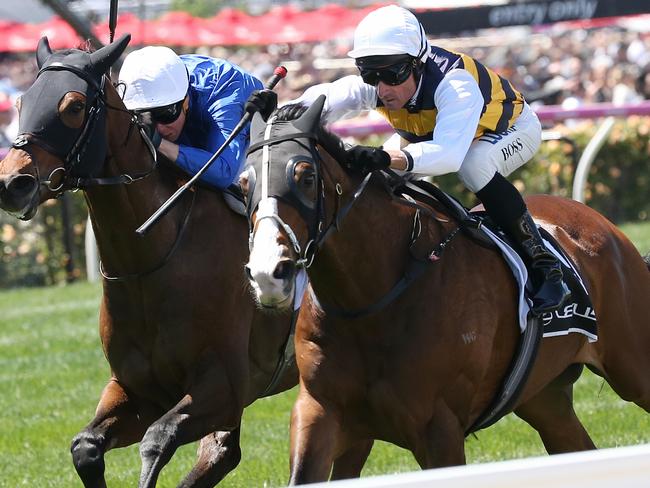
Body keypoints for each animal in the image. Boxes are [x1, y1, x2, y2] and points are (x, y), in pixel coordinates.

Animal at [0, 35, 298, 488]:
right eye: (20, 103)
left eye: (73, 106)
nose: (11, 183)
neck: (152, 255)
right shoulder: (135, 389)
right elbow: (85, 447)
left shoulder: (225, 385)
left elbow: (158, 439)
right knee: (221, 453)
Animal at [242, 97, 648, 482]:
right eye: (245, 184)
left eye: (306, 177)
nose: (269, 272)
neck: (371, 302)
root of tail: (605, 227)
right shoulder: (322, 412)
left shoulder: (439, 428)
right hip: (544, 396)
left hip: (632, 368)